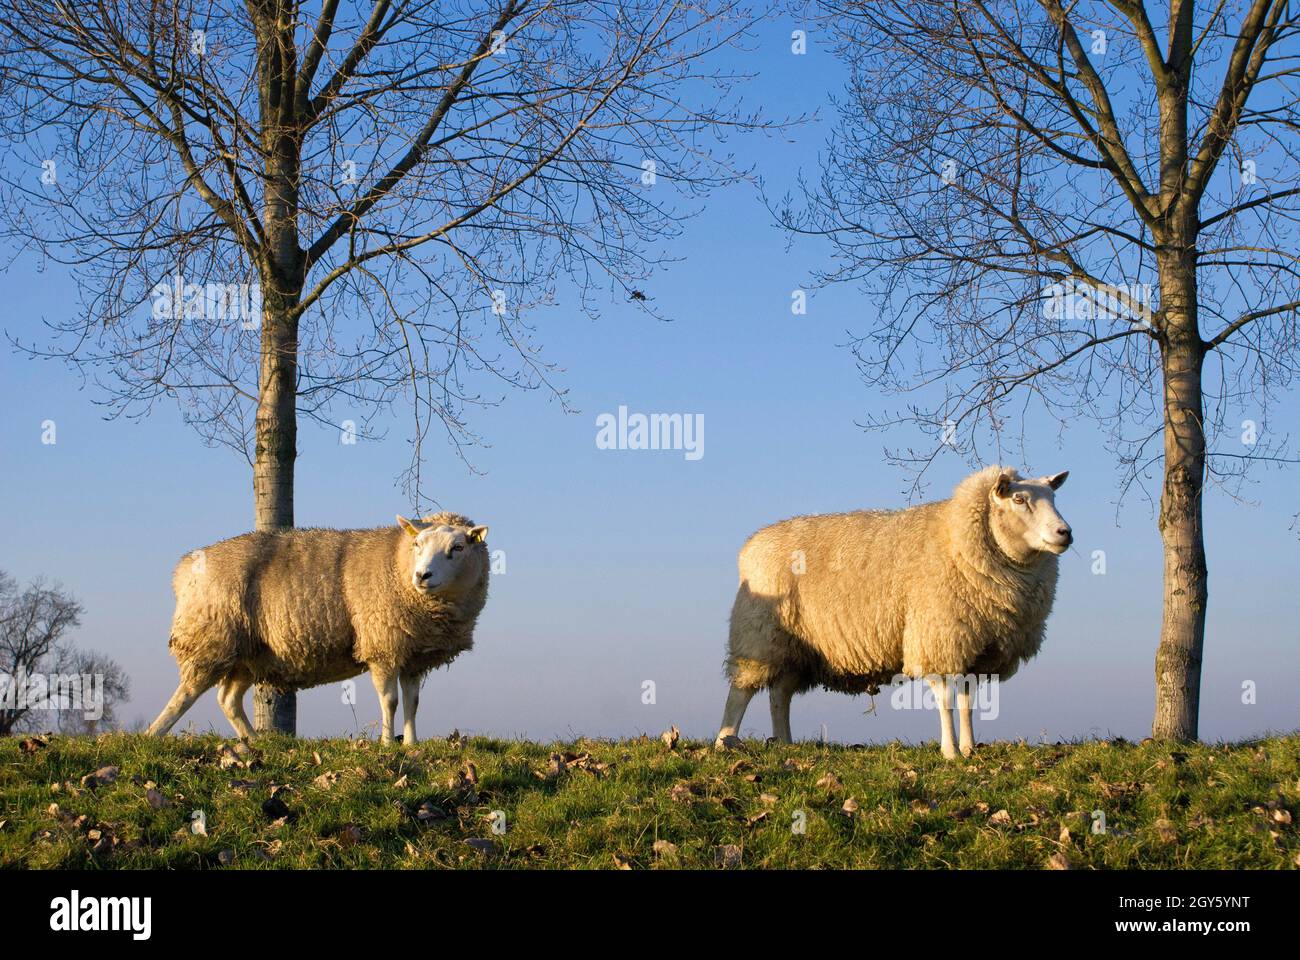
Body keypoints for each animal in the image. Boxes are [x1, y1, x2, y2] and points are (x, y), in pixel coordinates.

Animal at [147, 509, 488, 738]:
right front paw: (387, 744)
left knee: (228, 699)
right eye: (417, 545)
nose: (422, 575)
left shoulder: (414, 655)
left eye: (458, 548)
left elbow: (412, 703)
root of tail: (184, 568)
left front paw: (410, 745)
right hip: (211, 638)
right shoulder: (382, 645)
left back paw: (252, 744)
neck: (397, 563)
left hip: (247, 654)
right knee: (186, 694)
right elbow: (390, 701)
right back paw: (154, 735)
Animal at [717, 468, 1071, 759]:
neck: (957, 539)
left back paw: (785, 743)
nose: (1065, 532)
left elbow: (967, 703)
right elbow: (946, 700)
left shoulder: (972, 648)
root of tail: (750, 545)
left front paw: (970, 749)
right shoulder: (937, 637)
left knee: (780, 694)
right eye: (1019, 499)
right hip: (758, 634)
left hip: (795, 647)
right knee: (741, 690)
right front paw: (951, 752)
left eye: (1053, 497)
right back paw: (725, 741)